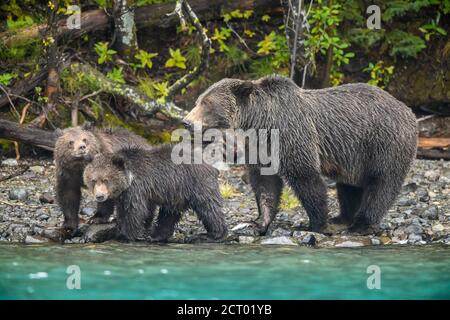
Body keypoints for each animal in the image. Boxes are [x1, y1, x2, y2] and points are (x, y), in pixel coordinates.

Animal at [82, 145, 227, 240]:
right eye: (93, 180)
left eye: (106, 180)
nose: (99, 196)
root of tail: (210, 166)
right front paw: (96, 218)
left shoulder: (136, 189)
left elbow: (135, 211)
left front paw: (128, 234)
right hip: (176, 194)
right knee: (169, 214)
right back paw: (157, 235)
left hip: (197, 184)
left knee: (209, 208)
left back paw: (213, 234)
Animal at [184, 75, 418, 235]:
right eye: (198, 101)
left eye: (207, 103)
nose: (186, 121)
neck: (259, 123)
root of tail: (408, 111)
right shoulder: (261, 148)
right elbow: (265, 183)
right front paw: (259, 222)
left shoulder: (292, 134)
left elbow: (305, 176)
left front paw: (317, 223)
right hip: (354, 155)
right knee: (349, 185)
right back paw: (342, 217)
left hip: (384, 142)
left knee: (382, 183)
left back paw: (361, 224)